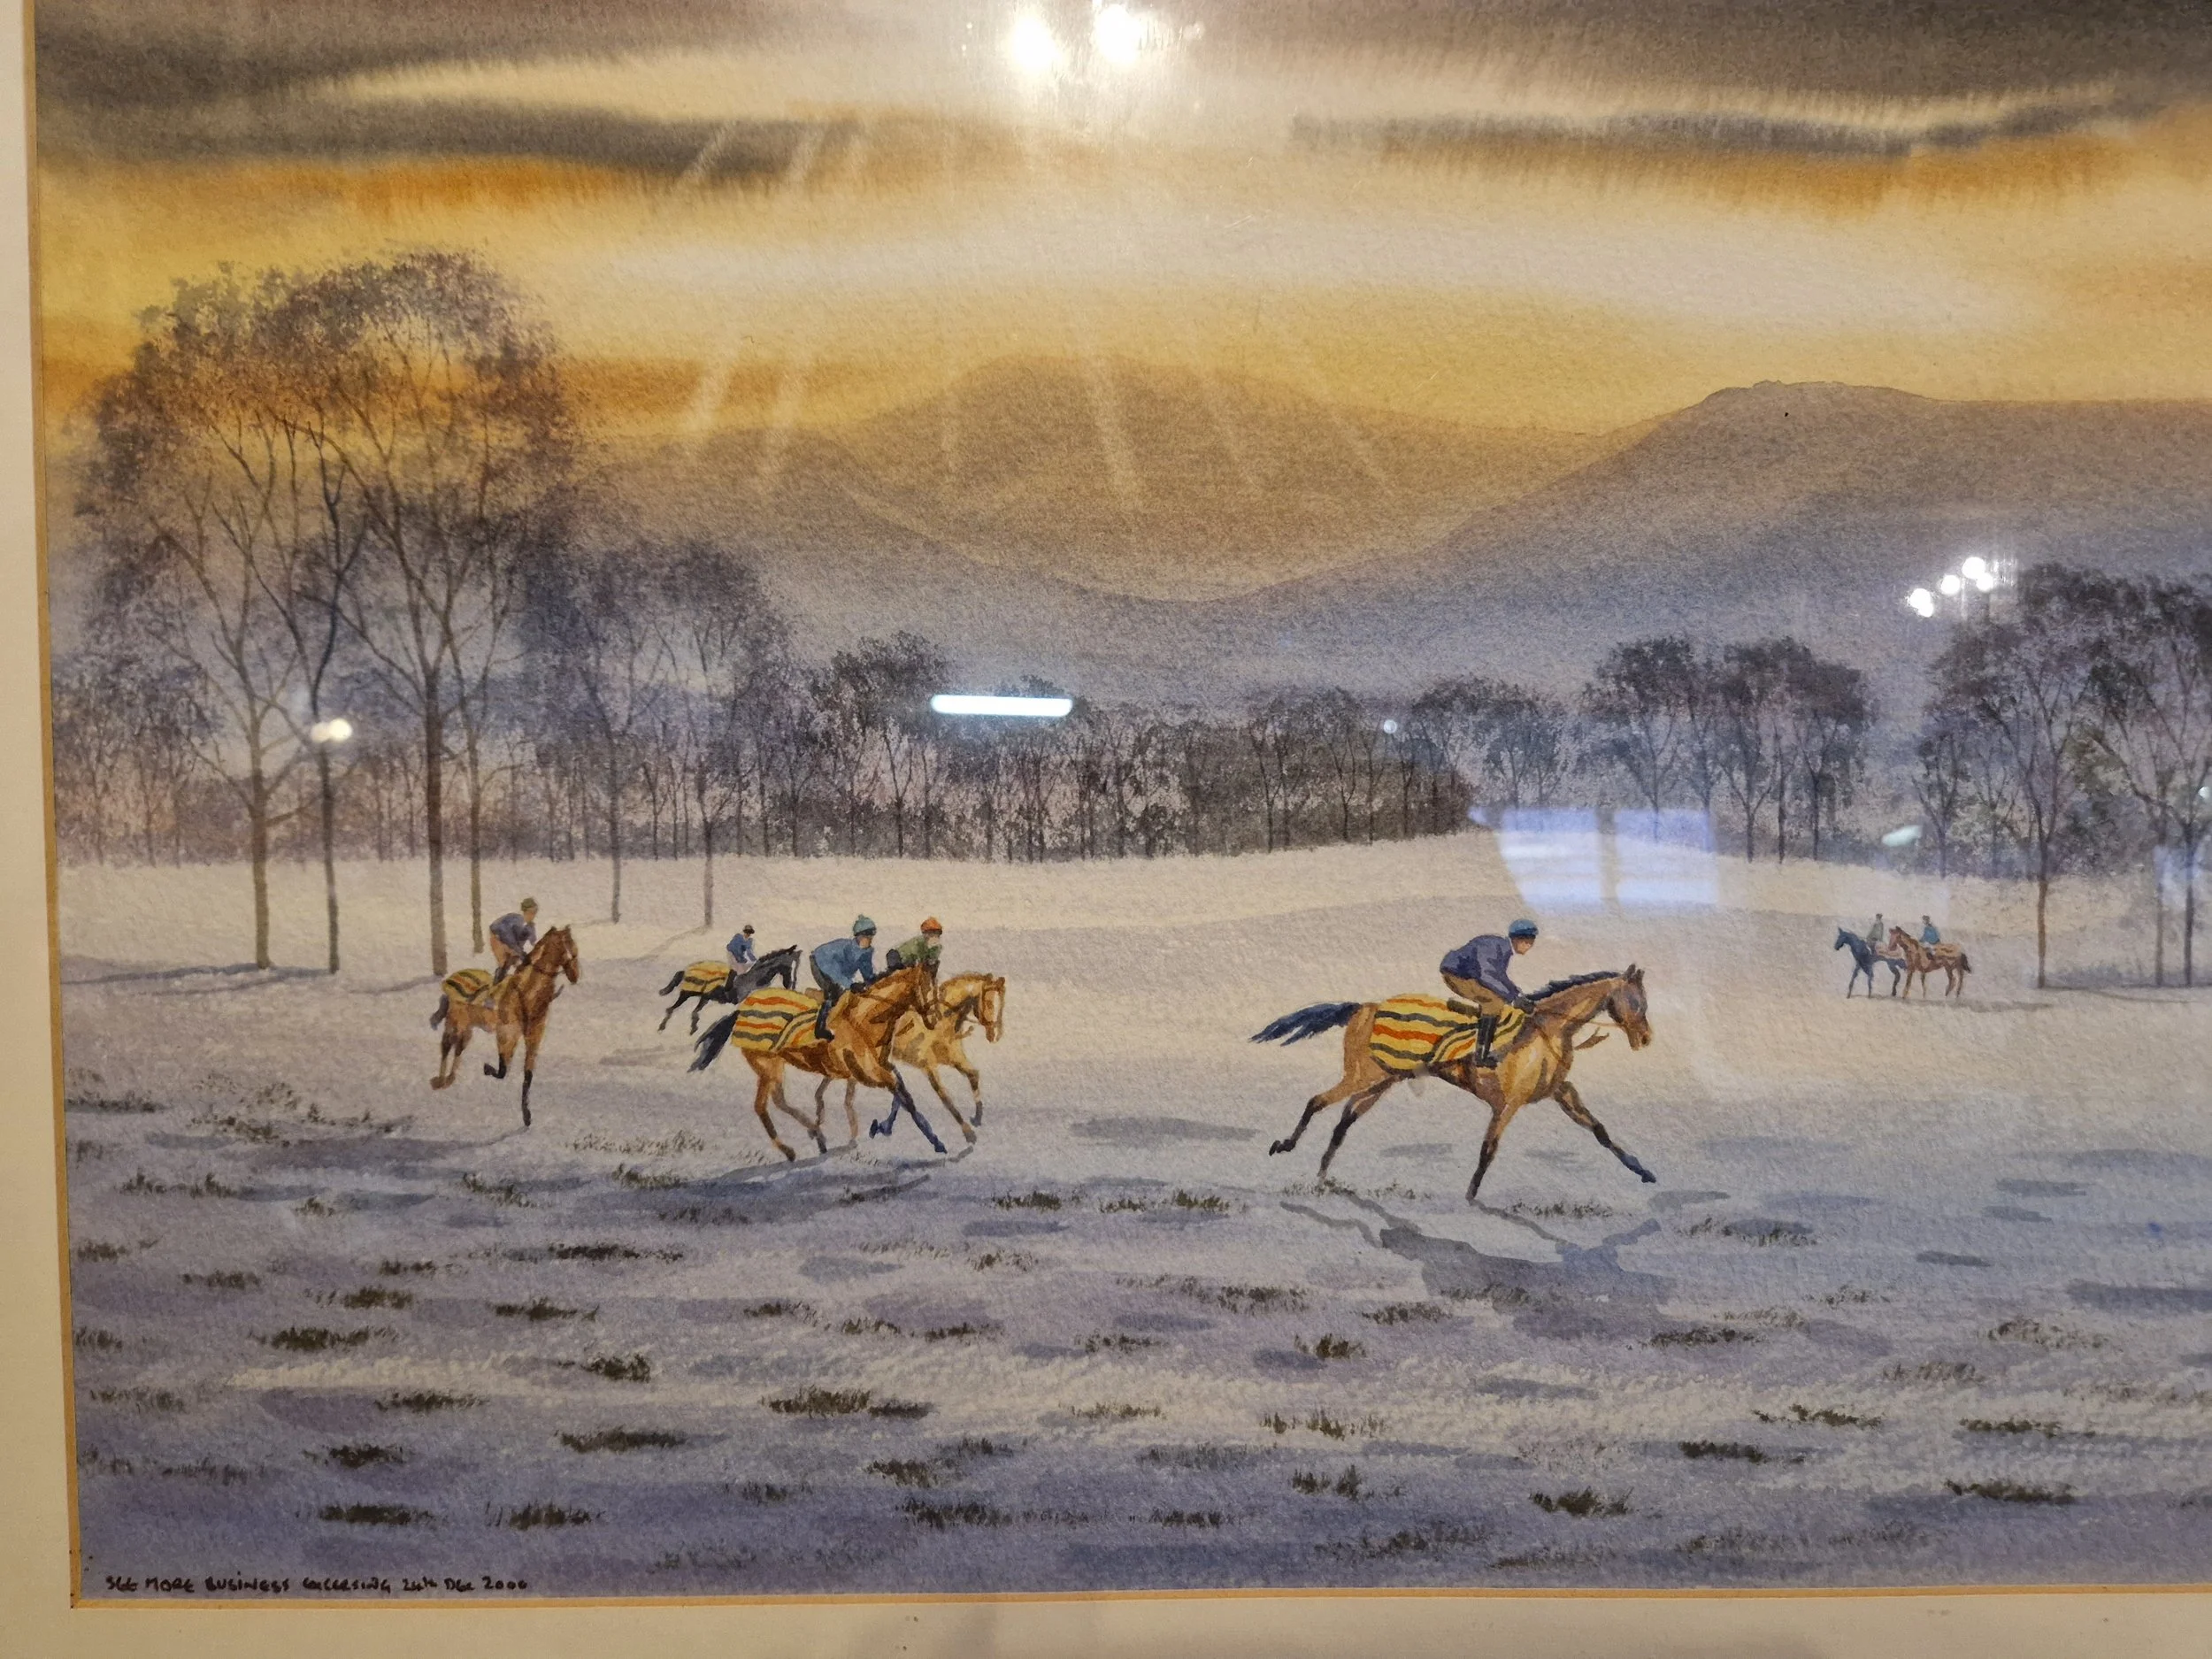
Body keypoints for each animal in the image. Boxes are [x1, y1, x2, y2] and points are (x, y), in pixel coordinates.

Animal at [428, 925, 579, 1128]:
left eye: (576, 948)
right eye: (568, 948)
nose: (575, 975)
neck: (527, 994)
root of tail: (451, 978)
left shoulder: (534, 1036)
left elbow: (528, 1075)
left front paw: (527, 1115)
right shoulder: (507, 1034)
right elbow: (502, 1070)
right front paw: (486, 1068)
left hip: (468, 1027)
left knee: (459, 1047)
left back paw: (449, 1079)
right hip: (455, 1022)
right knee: (446, 1046)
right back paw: (440, 1080)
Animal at [657, 945, 800, 1033]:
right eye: (789, 967)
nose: (790, 985)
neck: (752, 978)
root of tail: (685, 971)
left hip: (703, 997)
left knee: (694, 1012)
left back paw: (693, 1029)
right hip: (686, 994)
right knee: (671, 1009)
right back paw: (661, 1028)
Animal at [691, 964, 949, 1161]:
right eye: (926, 987)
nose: (935, 1018)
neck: (865, 1021)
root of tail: (743, 1008)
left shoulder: (879, 1068)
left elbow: (900, 1094)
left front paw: (880, 1127)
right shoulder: (868, 1074)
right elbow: (905, 1099)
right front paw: (937, 1142)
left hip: (775, 1066)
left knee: (779, 1101)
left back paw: (818, 1135)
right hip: (766, 1064)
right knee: (761, 1107)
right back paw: (790, 1150)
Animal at [813, 972, 1006, 1145]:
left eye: (1001, 1005)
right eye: (989, 1002)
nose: (995, 1035)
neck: (940, 1022)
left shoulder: (953, 1058)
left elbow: (973, 1075)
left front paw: (977, 1117)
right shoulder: (927, 1066)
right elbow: (943, 1097)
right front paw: (968, 1132)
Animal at [1255, 968, 1656, 1203]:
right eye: (1637, 1000)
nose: (1647, 1038)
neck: (1548, 1029)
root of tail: (1363, 1006)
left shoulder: (1561, 1092)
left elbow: (1600, 1131)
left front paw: (1643, 1170)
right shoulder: (1508, 1104)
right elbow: (1488, 1150)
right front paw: (1471, 1195)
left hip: (1382, 1080)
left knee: (1344, 1121)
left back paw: (1323, 1175)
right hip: (1363, 1075)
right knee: (1317, 1101)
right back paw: (1285, 1146)